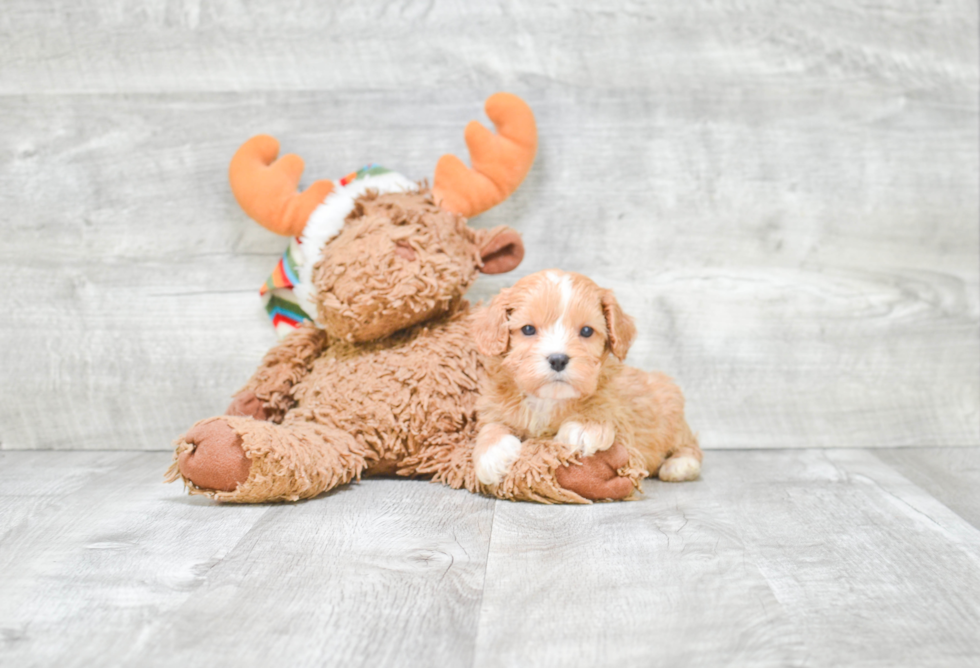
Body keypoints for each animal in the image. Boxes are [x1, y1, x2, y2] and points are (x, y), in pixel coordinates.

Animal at [470, 268, 700, 498]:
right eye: (528, 329)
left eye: (587, 331)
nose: (558, 359)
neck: (549, 399)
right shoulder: (494, 404)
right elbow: (492, 425)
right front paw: (492, 453)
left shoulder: (621, 413)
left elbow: (602, 407)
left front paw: (584, 427)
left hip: (670, 407)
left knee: (689, 443)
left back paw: (680, 464)